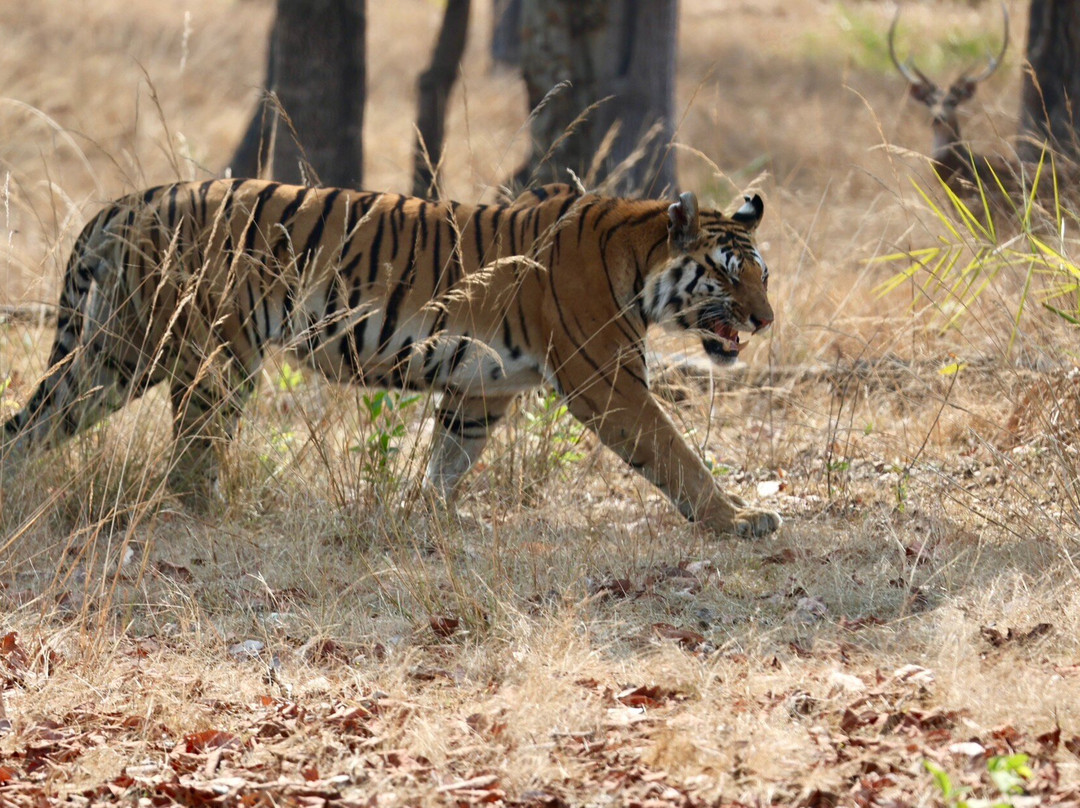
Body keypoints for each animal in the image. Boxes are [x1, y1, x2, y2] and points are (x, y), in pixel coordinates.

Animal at [1, 178, 781, 538]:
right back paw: (223, 517)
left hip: (113, 356)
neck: (638, 260)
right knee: (188, 460)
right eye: (728, 276)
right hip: (201, 357)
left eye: (763, 275)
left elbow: (448, 459)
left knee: (28, 424)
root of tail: (126, 204)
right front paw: (738, 519)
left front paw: (428, 519)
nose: (767, 321)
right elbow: (675, 453)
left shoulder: (482, 389)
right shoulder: (607, 381)